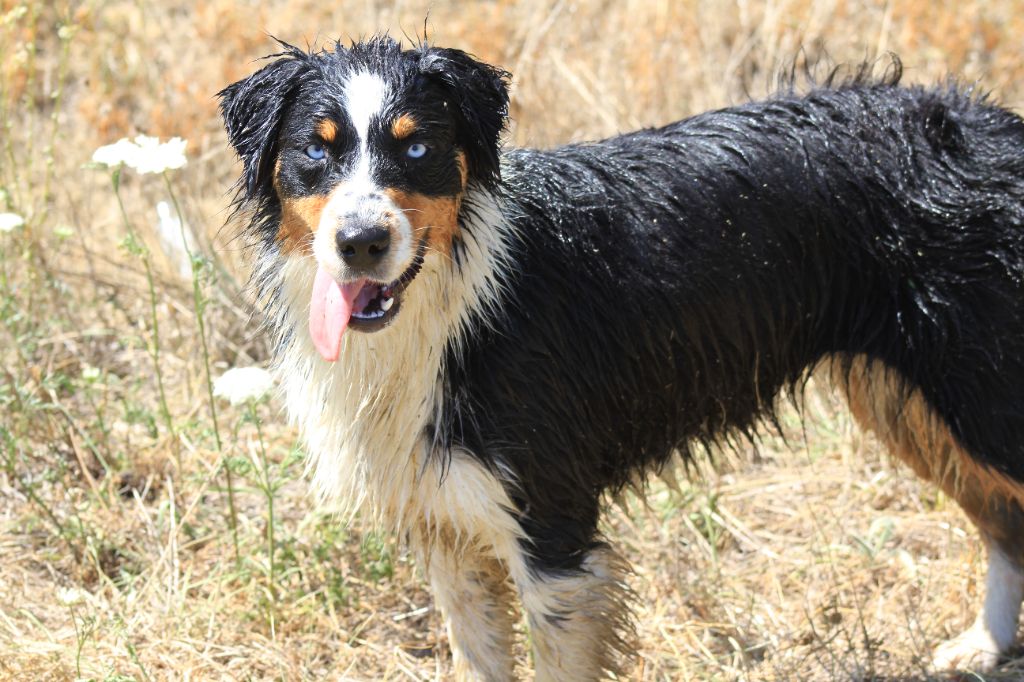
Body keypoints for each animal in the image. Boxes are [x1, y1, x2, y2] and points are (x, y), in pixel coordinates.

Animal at [220, 38, 1024, 679]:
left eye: (417, 148)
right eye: (316, 151)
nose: (361, 242)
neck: (459, 302)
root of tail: (998, 128)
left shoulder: (553, 526)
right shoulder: (443, 522)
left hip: (979, 397)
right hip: (917, 404)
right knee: (1005, 523)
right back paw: (985, 646)